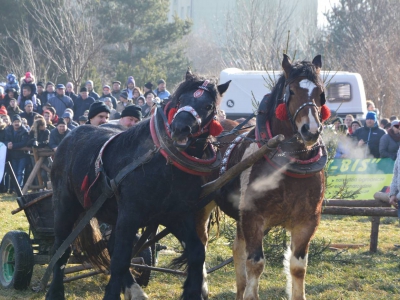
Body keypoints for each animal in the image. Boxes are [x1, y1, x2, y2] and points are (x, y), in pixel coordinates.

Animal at [45, 72, 230, 300]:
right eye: (180, 100)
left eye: (208, 106)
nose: (180, 129)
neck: (164, 164)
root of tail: (69, 136)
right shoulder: (130, 215)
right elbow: (120, 260)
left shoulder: (176, 215)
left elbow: (196, 251)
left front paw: (193, 292)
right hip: (65, 207)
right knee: (61, 250)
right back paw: (55, 291)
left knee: (110, 246)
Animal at [198, 54, 332, 300]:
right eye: (291, 91)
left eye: (321, 92)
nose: (310, 130)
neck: (290, 164)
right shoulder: (254, 217)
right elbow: (256, 264)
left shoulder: (307, 221)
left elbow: (298, 267)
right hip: (202, 205)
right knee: (200, 244)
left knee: (237, 250)